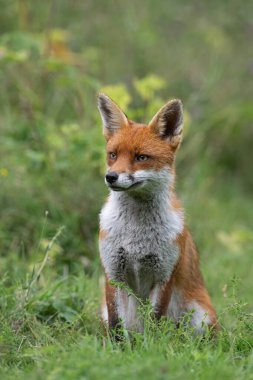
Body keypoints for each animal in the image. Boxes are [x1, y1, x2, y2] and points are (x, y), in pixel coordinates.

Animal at [97, 93, 217, 334]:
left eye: (141, 157)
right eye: (113, 155)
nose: (111, 177)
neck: (136, 234)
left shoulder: (164, 275)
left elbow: (154, 322)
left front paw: (151, 344)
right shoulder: (113, 273)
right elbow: (116, 325)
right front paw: (115, 345)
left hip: (201, 318)